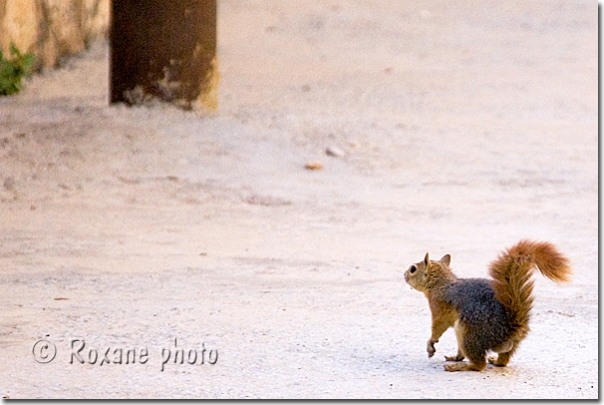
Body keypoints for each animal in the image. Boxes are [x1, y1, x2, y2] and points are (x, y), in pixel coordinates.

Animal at [406, 238, 572, 370]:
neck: (440, 284)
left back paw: (461, 366)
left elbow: (437, 327)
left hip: (469, 331)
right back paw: (488, 360)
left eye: (413, 269)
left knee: (479, 365)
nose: (404, 275)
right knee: (503, 360)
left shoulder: (438, 306)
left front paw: (430, 344)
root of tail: (511, 328)